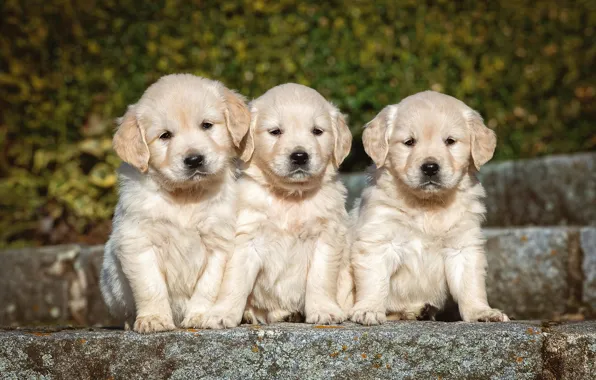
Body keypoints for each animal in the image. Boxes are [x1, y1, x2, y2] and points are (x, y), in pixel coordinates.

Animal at [99, 74, 248, 332]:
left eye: (206, 125)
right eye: (165, 136)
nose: (195, 160)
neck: (186, 195)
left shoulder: (218, 242)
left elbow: (208, 286)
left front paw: (200, 315)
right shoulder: (138, 241)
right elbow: (150, 285)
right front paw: (154, 319)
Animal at [200, 84, 352, 330]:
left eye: (317, 131)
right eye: (275, 131)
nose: (299, 156)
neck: (290, 196)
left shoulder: (327, 235)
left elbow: (320, 278)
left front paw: (323, 311)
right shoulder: (247, 237)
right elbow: (234, 281)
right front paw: (221, 314)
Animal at [346, 91, 510, 324]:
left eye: (450, 141)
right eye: (409, 142)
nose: (430, 167)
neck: (427, 205)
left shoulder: (463, 245)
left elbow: (470, 284)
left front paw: (481, 312)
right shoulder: (379, 241)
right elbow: (375, 281)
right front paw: (368, 309)